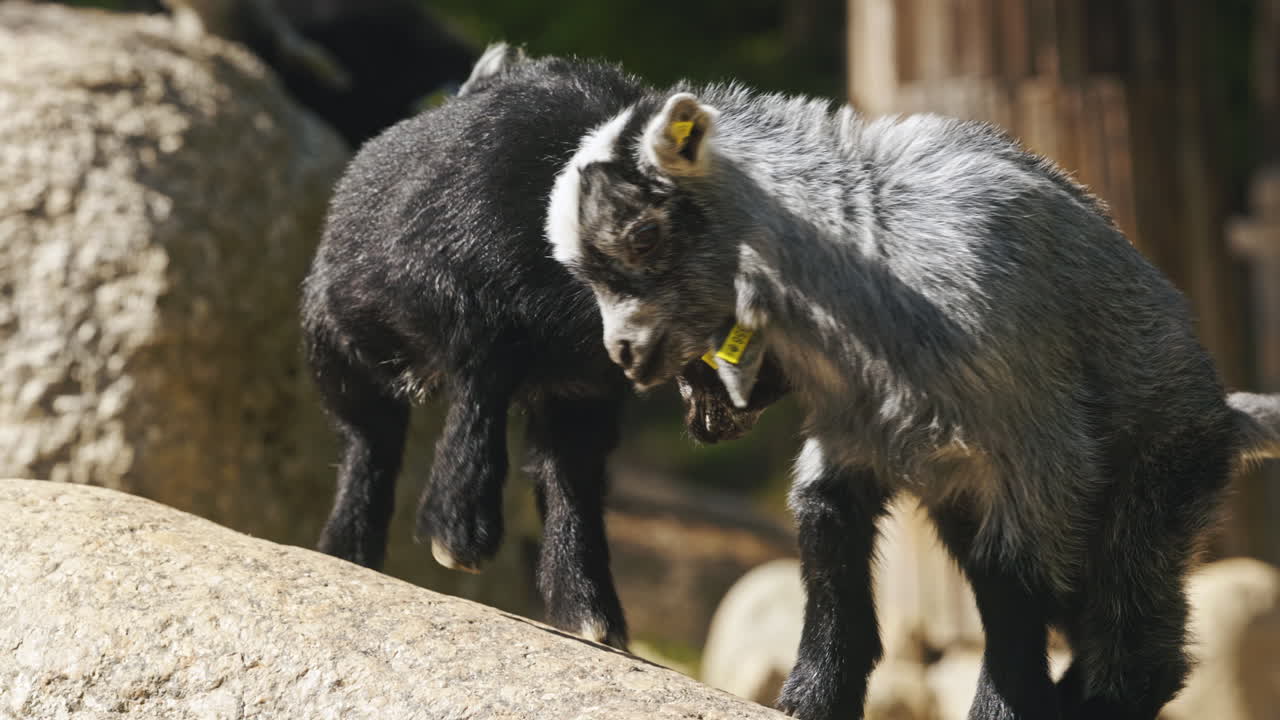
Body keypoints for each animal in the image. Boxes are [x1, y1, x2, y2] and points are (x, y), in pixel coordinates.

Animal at [300, 46, 786, 650]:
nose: (769, 392)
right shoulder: (466, 311)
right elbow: (478, 397)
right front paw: (459, 535)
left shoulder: (581, 388)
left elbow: (570, 476)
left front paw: (591, 615)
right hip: (340, 341)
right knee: (370, 437)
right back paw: (349, 550)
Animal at [546, 83, 1280, 719]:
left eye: (643, 236)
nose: (625, 354)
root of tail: (1225, 414)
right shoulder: (855, 437)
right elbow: (827, 538)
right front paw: (812, 700)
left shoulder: (1041, 450)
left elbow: (1011, 596)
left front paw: (999, 711)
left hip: (1151, 490)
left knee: (1136, 643)